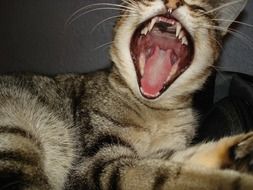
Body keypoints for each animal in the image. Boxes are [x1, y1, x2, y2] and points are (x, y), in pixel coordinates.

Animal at [0, 0, 253, 189]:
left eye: (198, 7)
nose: (172, 2)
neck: (156, 111)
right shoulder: (98, 164)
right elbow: (166, 176)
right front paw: (236, 181)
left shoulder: (158, 154)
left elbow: (184, 160)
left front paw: (241, 148)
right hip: (16, 133)